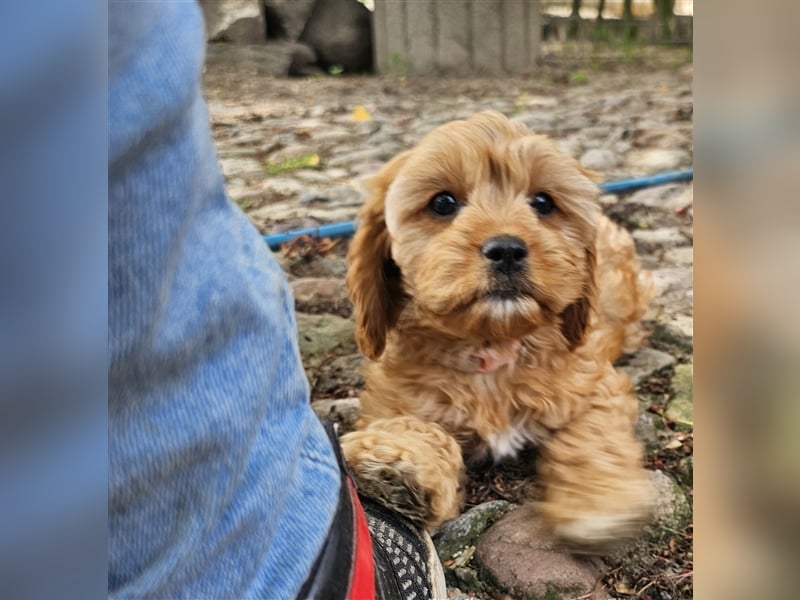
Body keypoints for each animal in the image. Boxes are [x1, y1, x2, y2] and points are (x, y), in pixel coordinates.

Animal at [338, 110, 656, 552]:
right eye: (442, 203)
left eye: (543, 202)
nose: (506, 249)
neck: (492, 343)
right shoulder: (392, 398)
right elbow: (411, 424)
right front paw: (398, 464)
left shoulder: (595, 380)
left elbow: (594, 431)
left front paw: (600, 498)